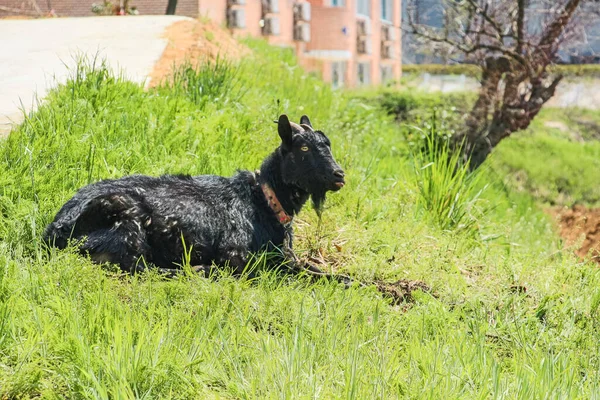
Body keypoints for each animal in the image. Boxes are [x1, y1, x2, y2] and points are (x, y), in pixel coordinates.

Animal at [44, 114, 344, 276]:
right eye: (303, 148)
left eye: (328, 145)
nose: (339, 175)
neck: (263, 201)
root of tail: (55, 229)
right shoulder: (237, 255)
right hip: (127, 226)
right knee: (140, 267)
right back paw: (201, 270)